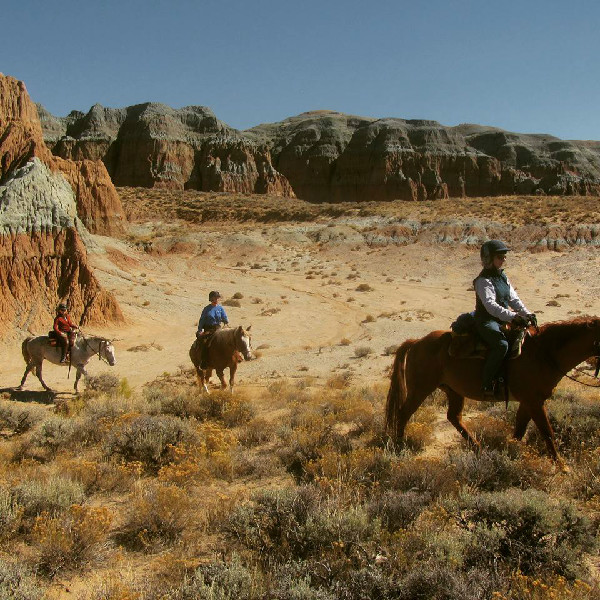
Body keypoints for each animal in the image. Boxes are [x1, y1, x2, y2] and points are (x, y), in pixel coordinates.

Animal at [384, 318, 600, 464]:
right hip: (420, 389)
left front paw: (508, 452)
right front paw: (562, 466)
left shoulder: (528, 402)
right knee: (403, 414)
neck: (545, 354)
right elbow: (547, 432)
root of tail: (416, 342)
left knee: (454, 417)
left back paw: (478, 448)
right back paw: (399, 446)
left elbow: (519, 430)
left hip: (453, 390)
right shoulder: (534, 402)